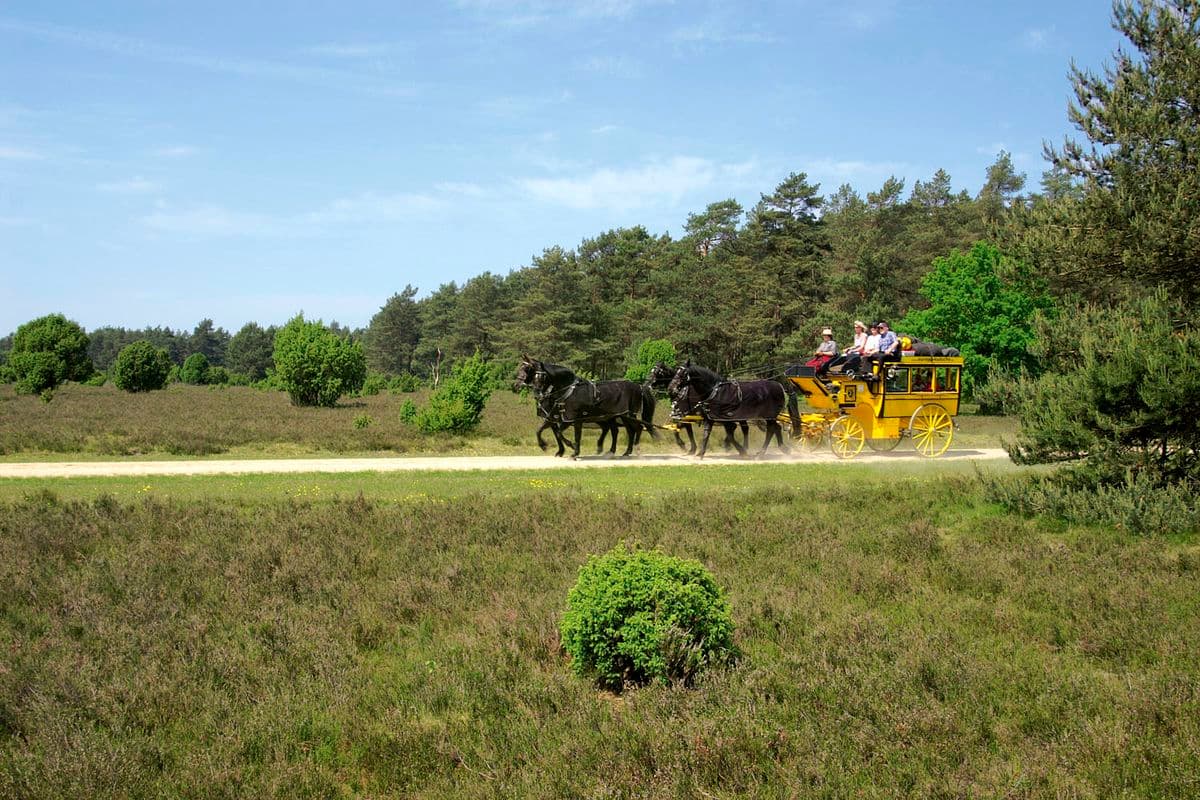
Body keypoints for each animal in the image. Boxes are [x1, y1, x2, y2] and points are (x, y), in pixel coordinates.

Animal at [667, 362, 796, 455]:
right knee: (776, 428)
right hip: (769, 417)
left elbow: (730, 434)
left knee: (770, 430)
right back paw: (783, 448)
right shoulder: (710, 417)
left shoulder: (726, 419)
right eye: (676, 372)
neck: (715, 391)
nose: (671, 389)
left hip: (768, 416)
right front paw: (700, 453)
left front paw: (740, 450)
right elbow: (706, 433)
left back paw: (761, 453)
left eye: (683, 374)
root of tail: (780, 387)